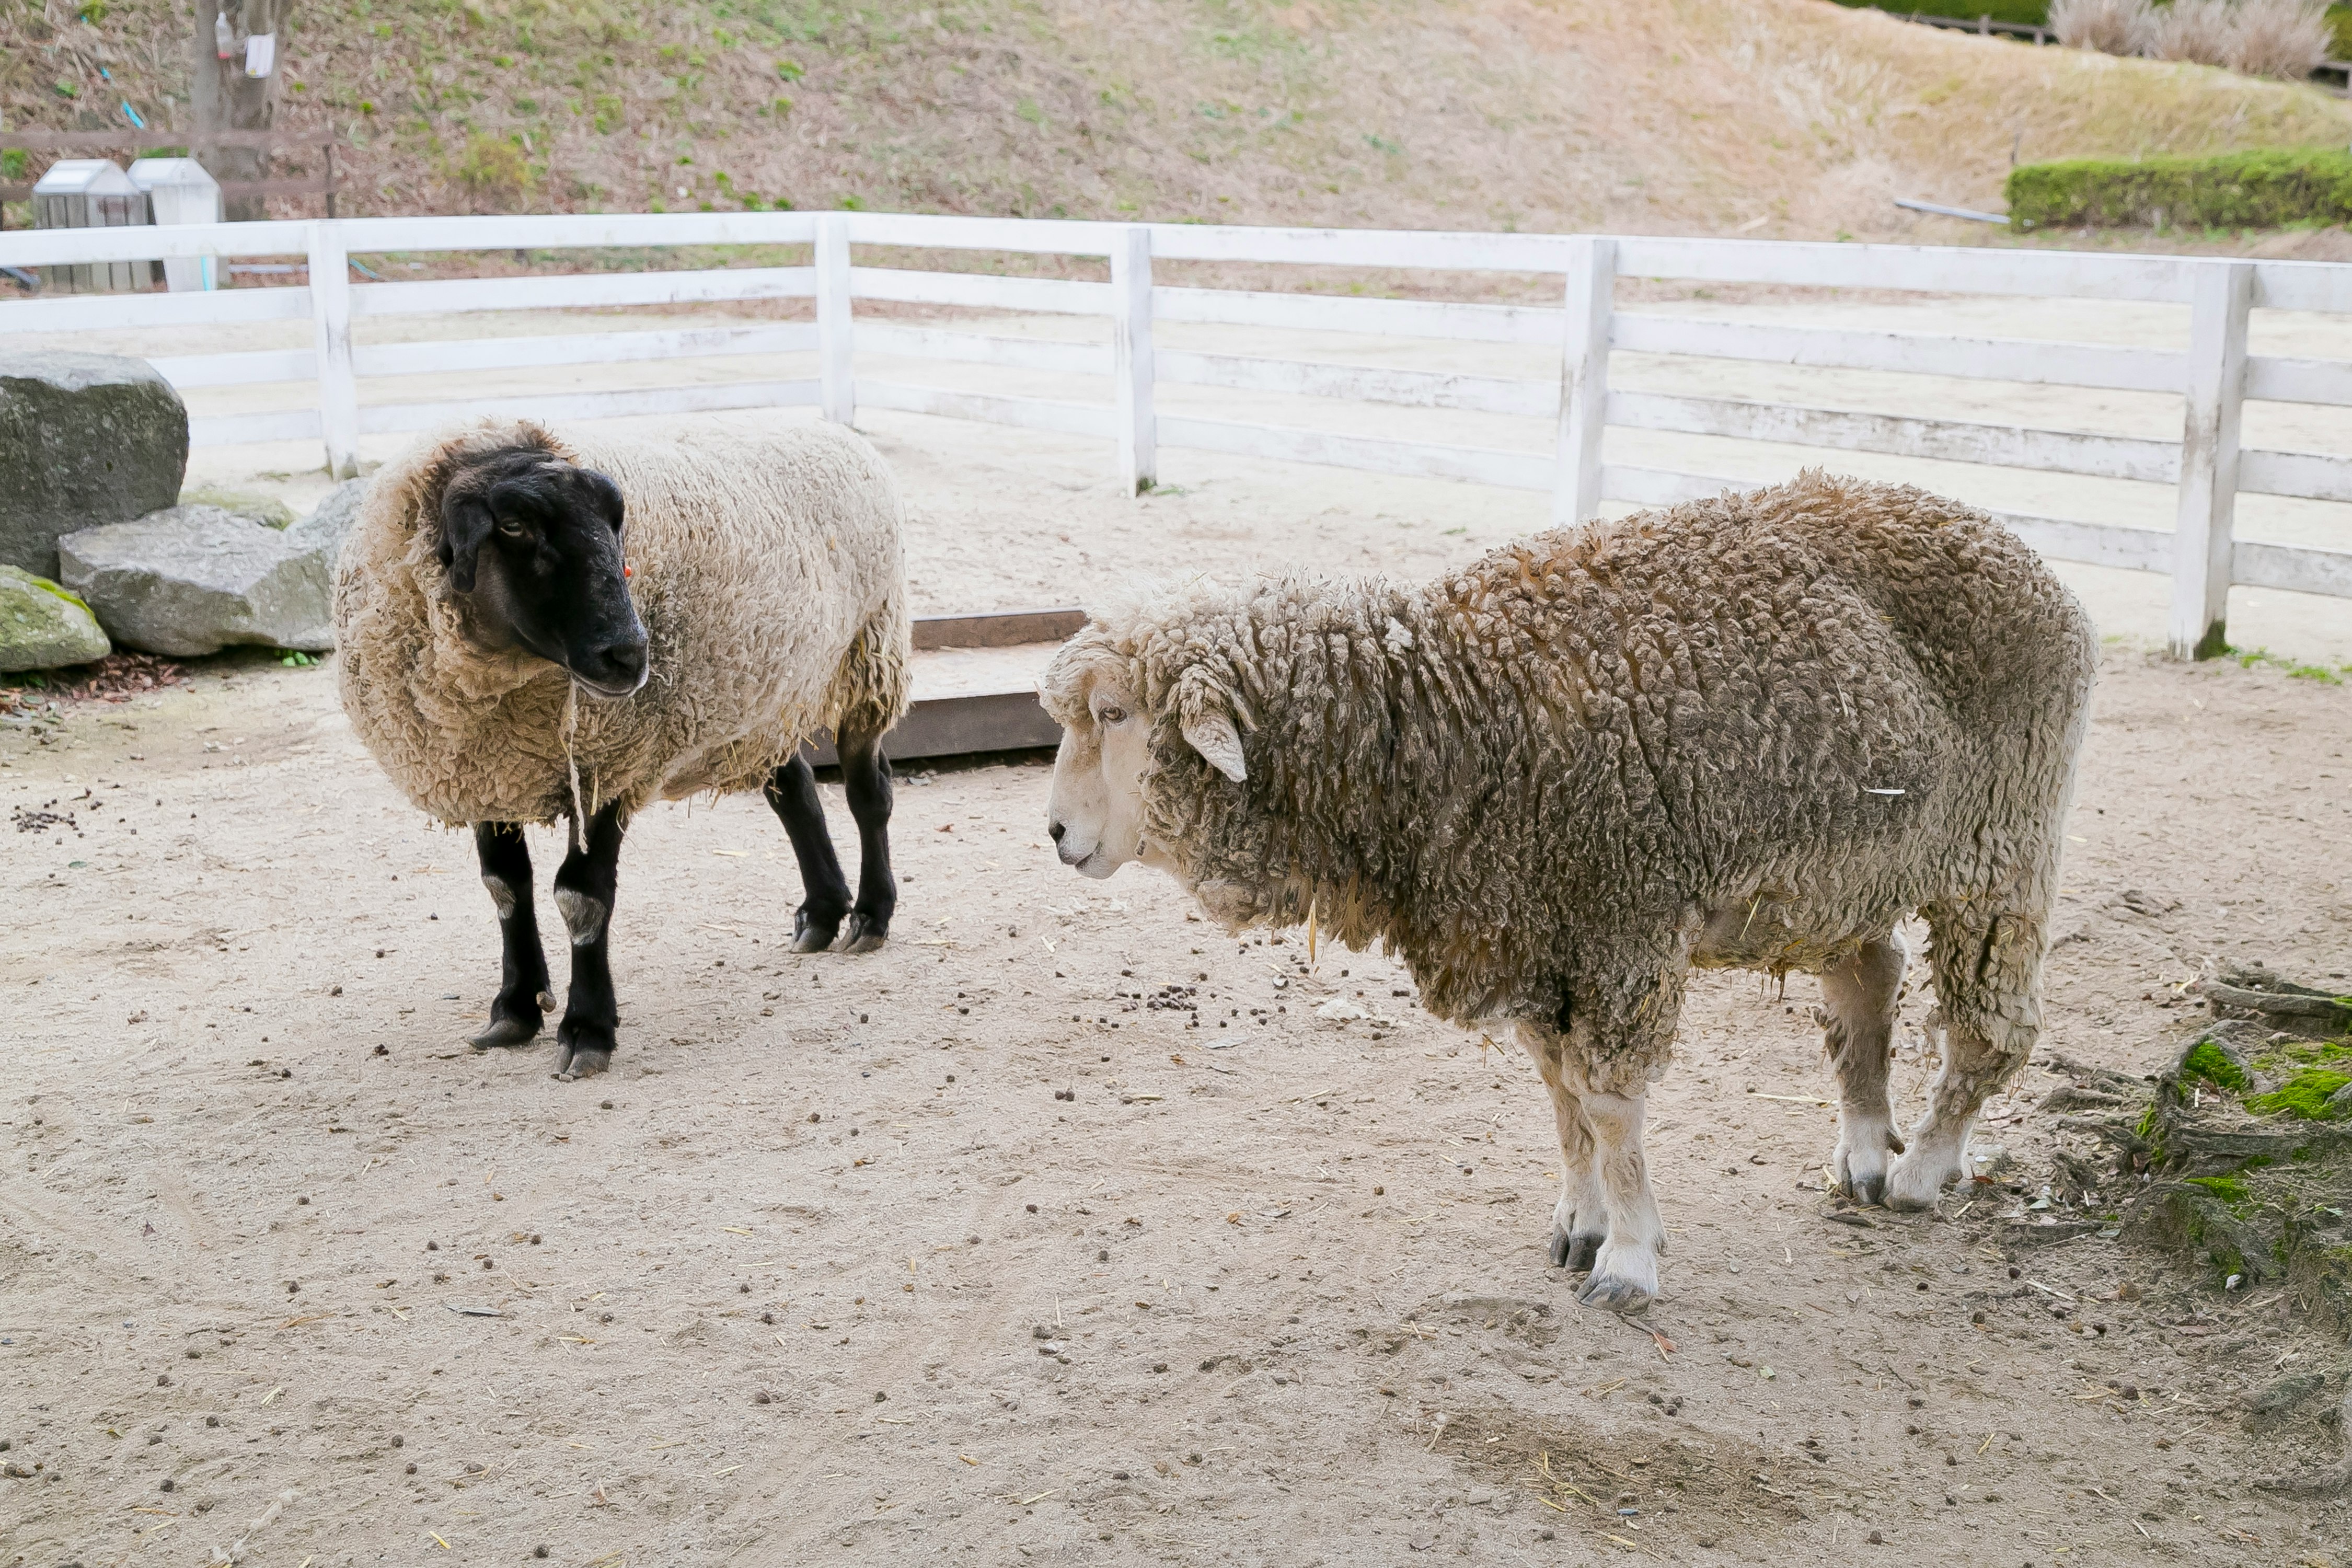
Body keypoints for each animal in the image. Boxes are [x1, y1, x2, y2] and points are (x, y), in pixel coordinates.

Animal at [334, 417, 909, 1078]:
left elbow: (581, 896)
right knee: (797, 792)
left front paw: (587, 1030)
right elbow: (505, 885)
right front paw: (514, 1009)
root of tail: (830, 424)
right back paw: (821, 914)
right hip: (762, 699)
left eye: (618, 522)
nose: (630, 655)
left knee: (869, 794)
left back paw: (870, 916)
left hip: (869, 652)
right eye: (514, 526)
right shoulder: (487, 770)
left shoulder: (613, 763)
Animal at [1041, 472, 2097, 1313]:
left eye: (1114, 713)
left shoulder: (1617, 924)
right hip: (1842, 869)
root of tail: (2014, 546)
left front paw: (1629, 1258)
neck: (1449, 714)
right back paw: (1868, 1151)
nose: (1054, 833)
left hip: (2003, 842)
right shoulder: (1535, 935)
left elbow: (1613, 1107)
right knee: (1870, 982)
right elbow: (1565, 1099)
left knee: (1990, 1026)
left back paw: (1924, 1168)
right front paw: (1580, 1224)